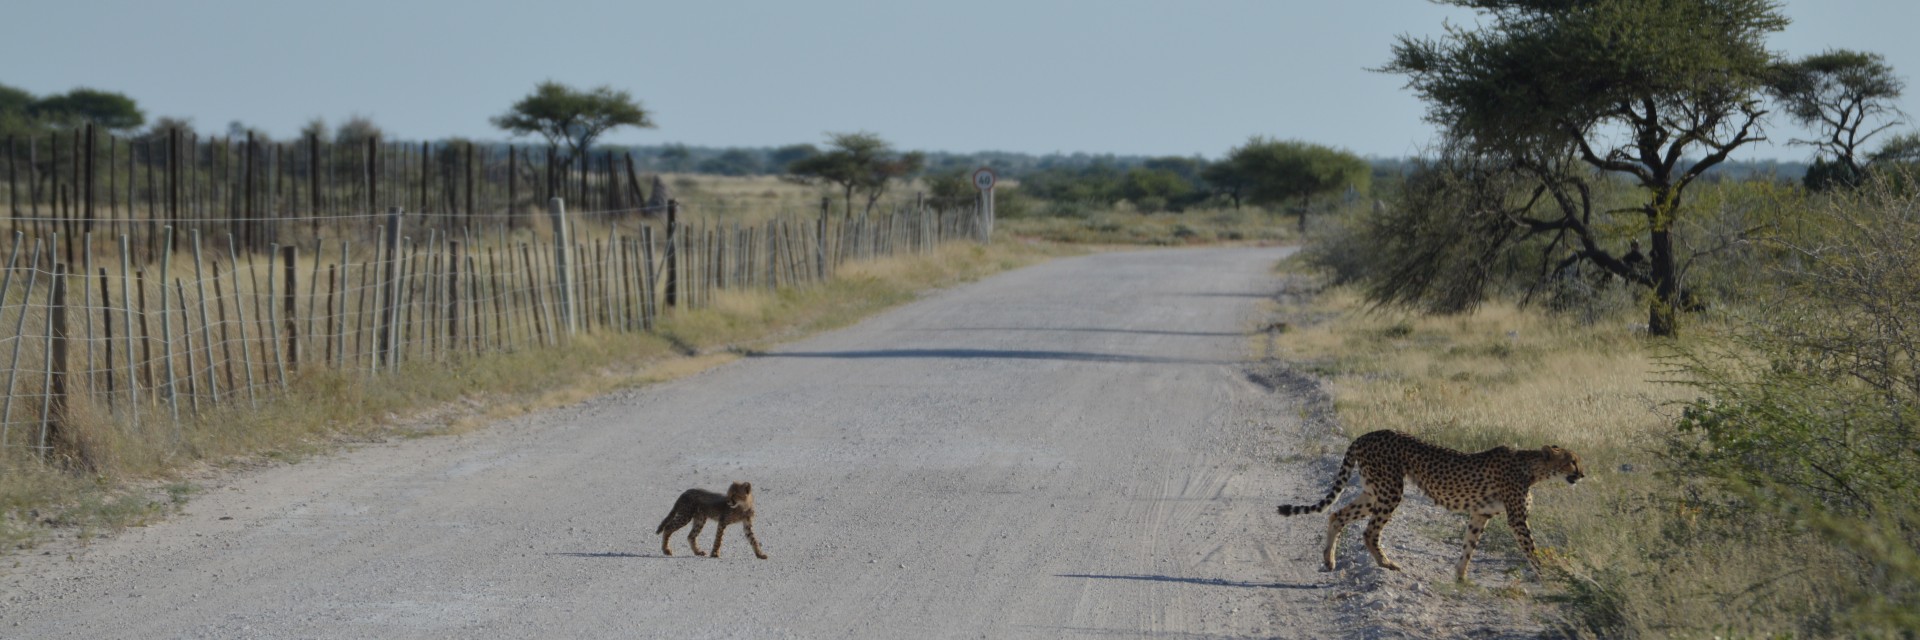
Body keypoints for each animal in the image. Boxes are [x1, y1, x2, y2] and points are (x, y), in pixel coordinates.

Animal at [1282, 428, 1582, 576]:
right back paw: (1386, 563)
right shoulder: (1517, 519)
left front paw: (1460, 578)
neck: (1532, 468)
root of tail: (1367, 434)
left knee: (1337, 515)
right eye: (1572, 461)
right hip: (1390, 490)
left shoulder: (1480, 515)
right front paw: (1548, 578)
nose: (1582, 474)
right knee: (1368, 531)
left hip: (1373, 491)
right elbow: (1531, 550)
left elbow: (1468, 547)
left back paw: (1330, 560)